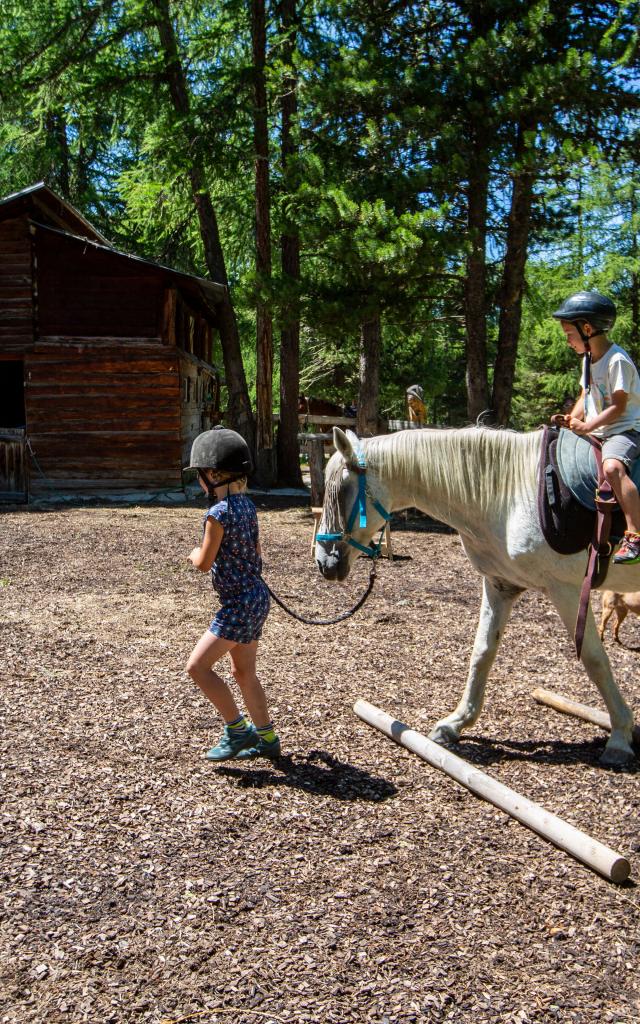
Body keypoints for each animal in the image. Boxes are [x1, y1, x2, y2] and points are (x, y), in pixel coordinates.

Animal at [315, 419, 638, 765]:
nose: (323, 562)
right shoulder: (500, 585)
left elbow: (594, 659)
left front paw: (620, 736)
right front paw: (456, 722)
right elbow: (482, 652)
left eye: (341, 491)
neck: (512, 494)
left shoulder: (566, 589)